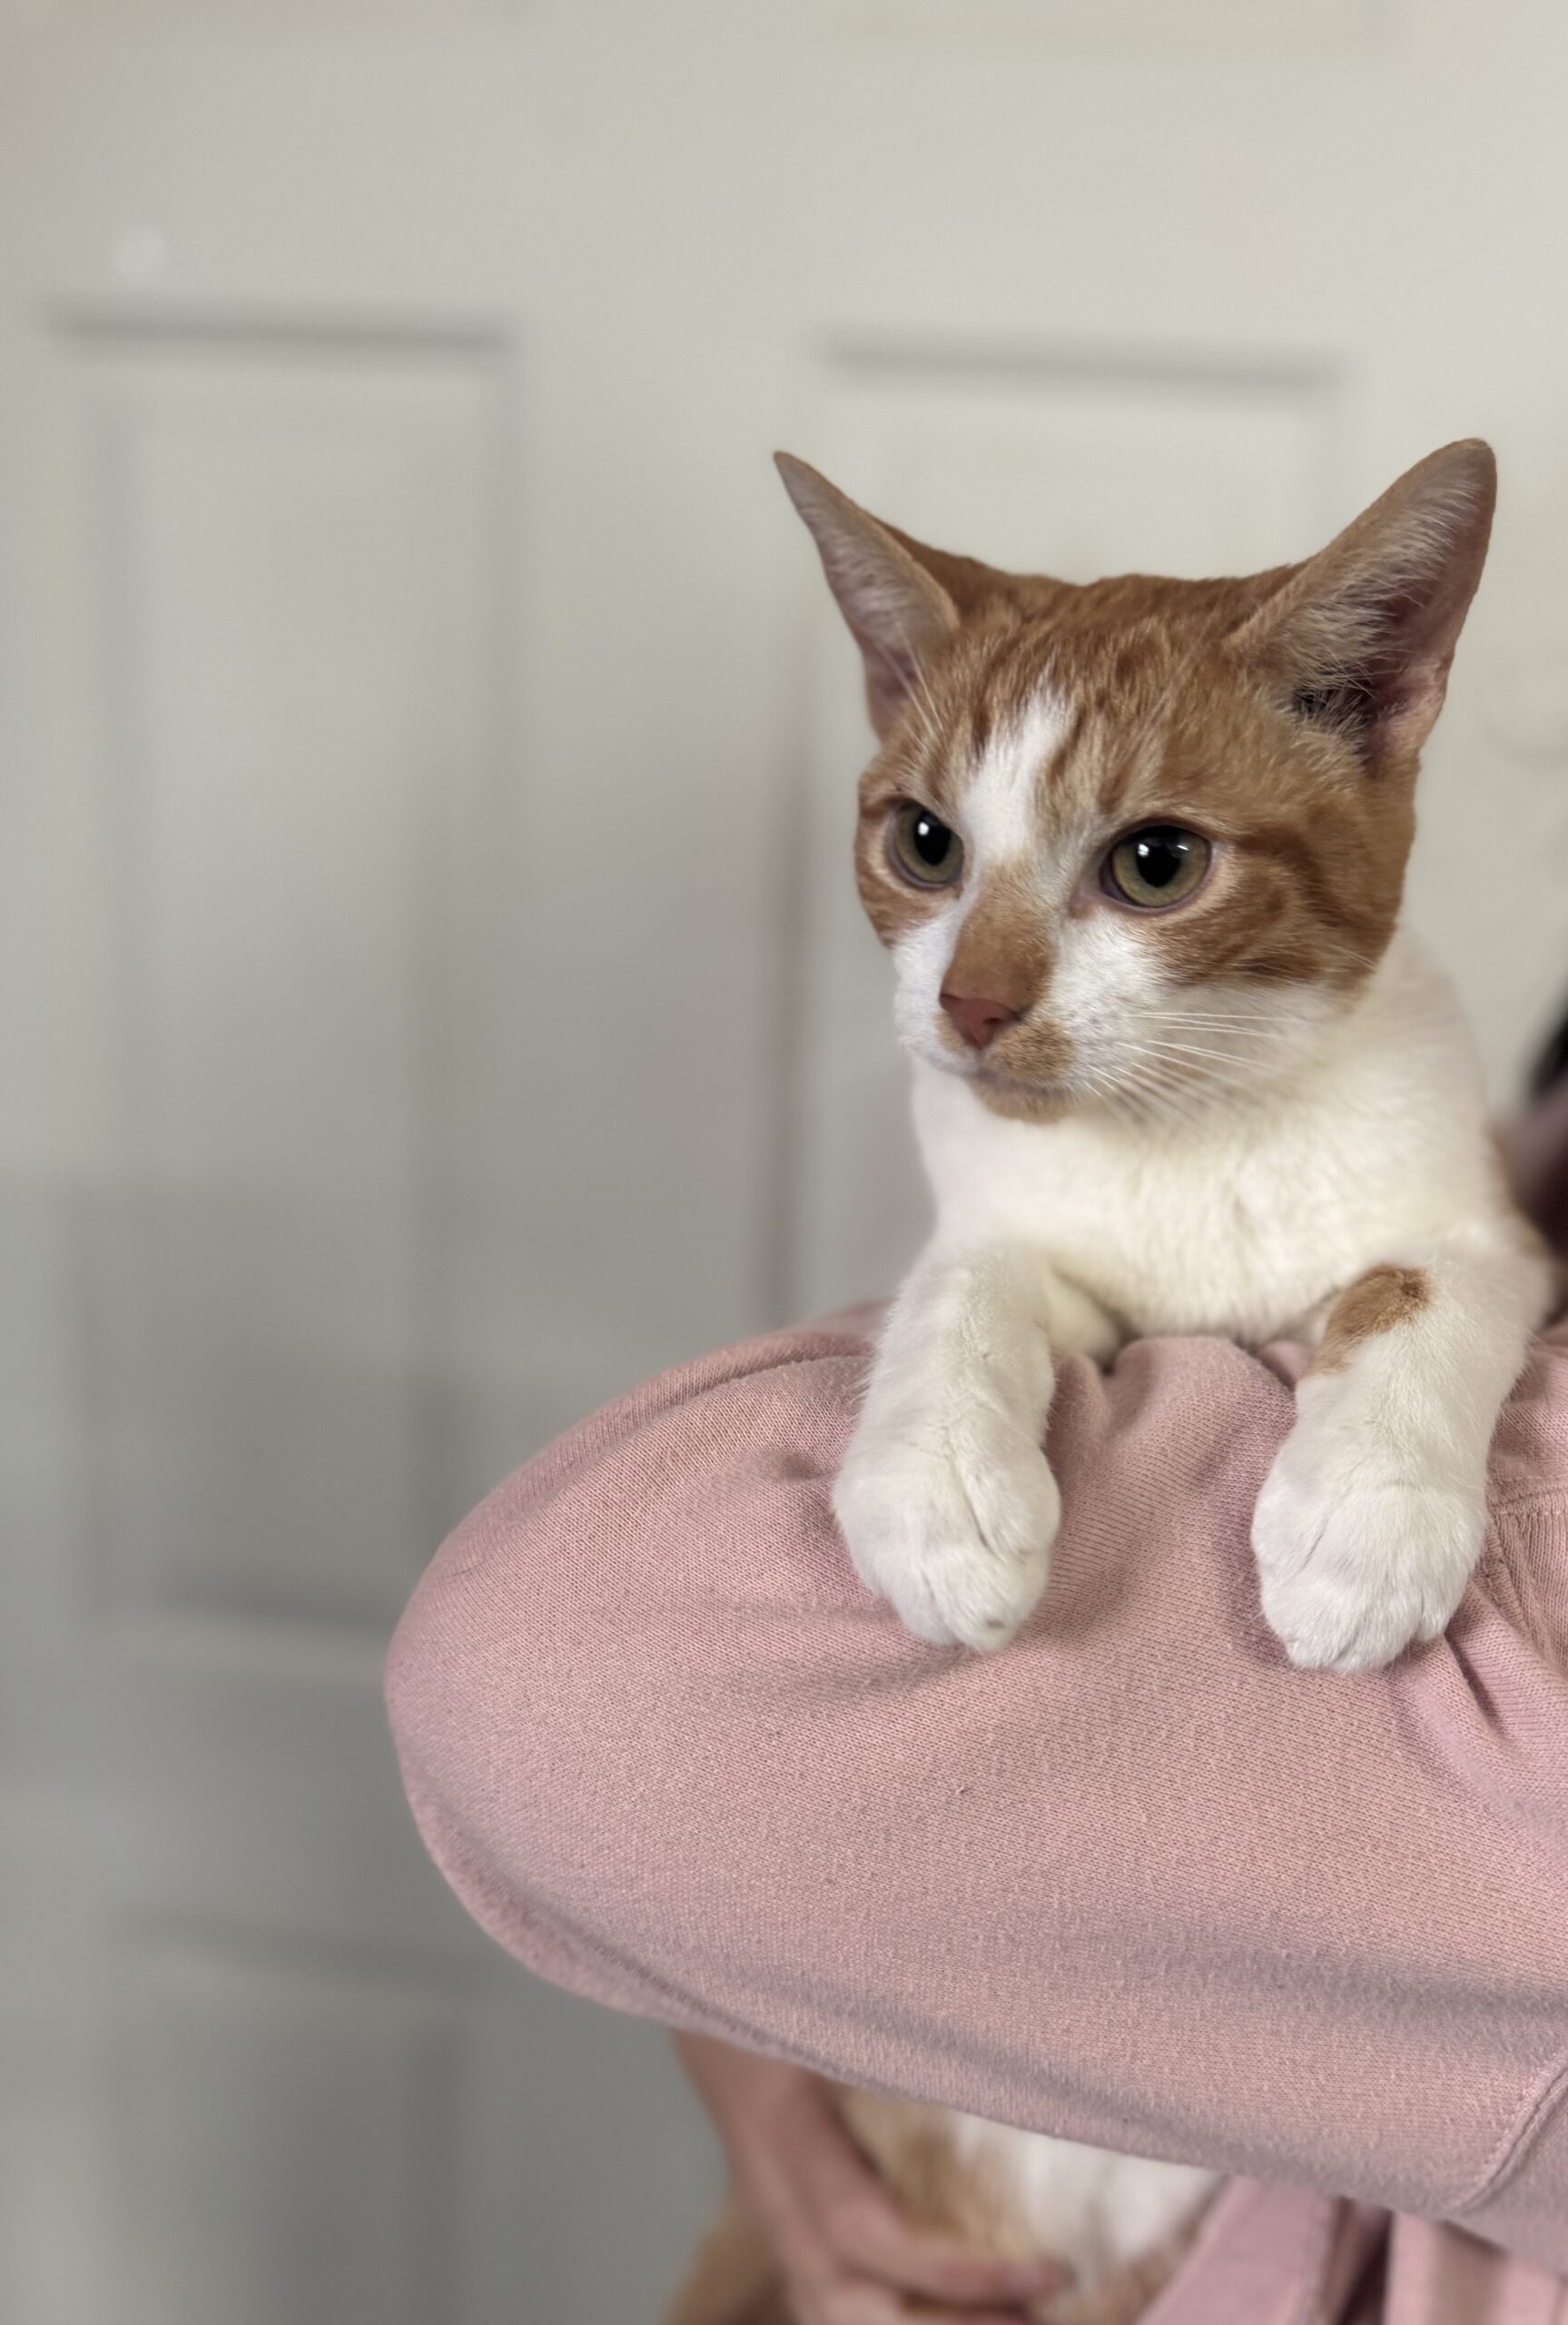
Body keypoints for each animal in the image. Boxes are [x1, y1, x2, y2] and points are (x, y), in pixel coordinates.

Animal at [666, 440, 1557, 2325]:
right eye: (923, 842)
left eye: (1156, 865)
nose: (973, 1005)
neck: (1185, 1141)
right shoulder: (1008, 1219)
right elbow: (971, 1281)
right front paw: (935, 1497)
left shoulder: (1493, 1233)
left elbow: (1414, 1290)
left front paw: (1357, 1533)